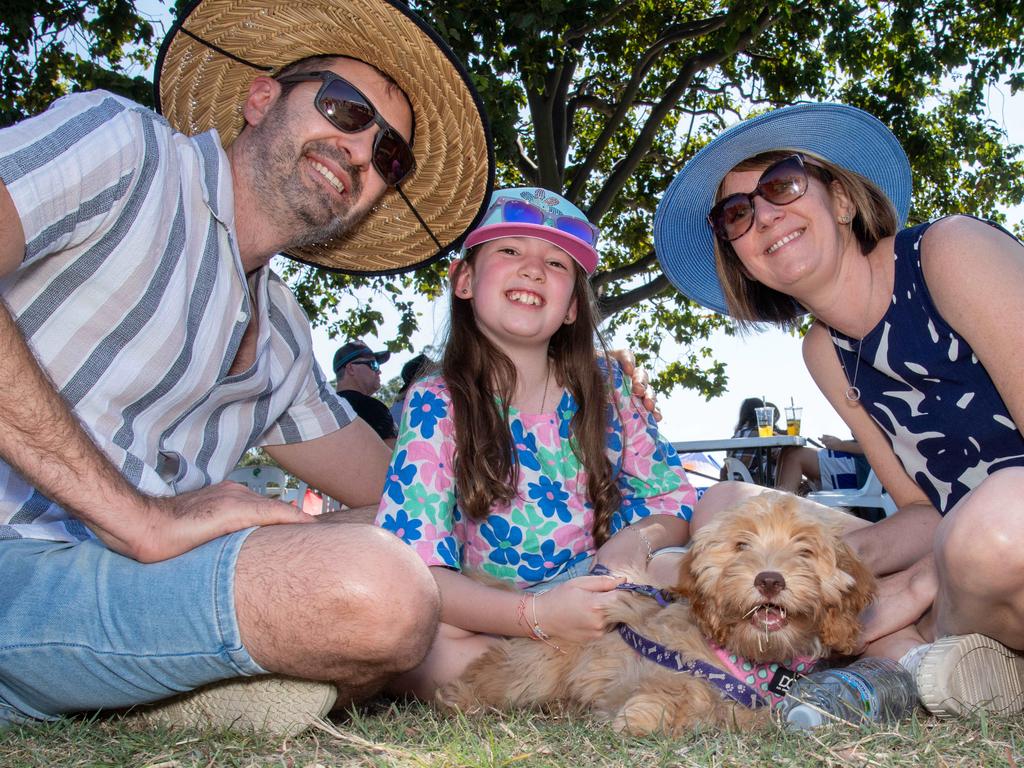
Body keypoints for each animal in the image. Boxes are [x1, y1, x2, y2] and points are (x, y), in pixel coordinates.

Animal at [436, 489, 876, 737]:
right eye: (741, 545)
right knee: (498, 675)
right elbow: (674, 689)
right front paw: (643, 716)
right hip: (537, 664)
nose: (769, 580)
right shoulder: (652, 664)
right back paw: (459, 698)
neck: (747, 657)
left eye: (804, 549)